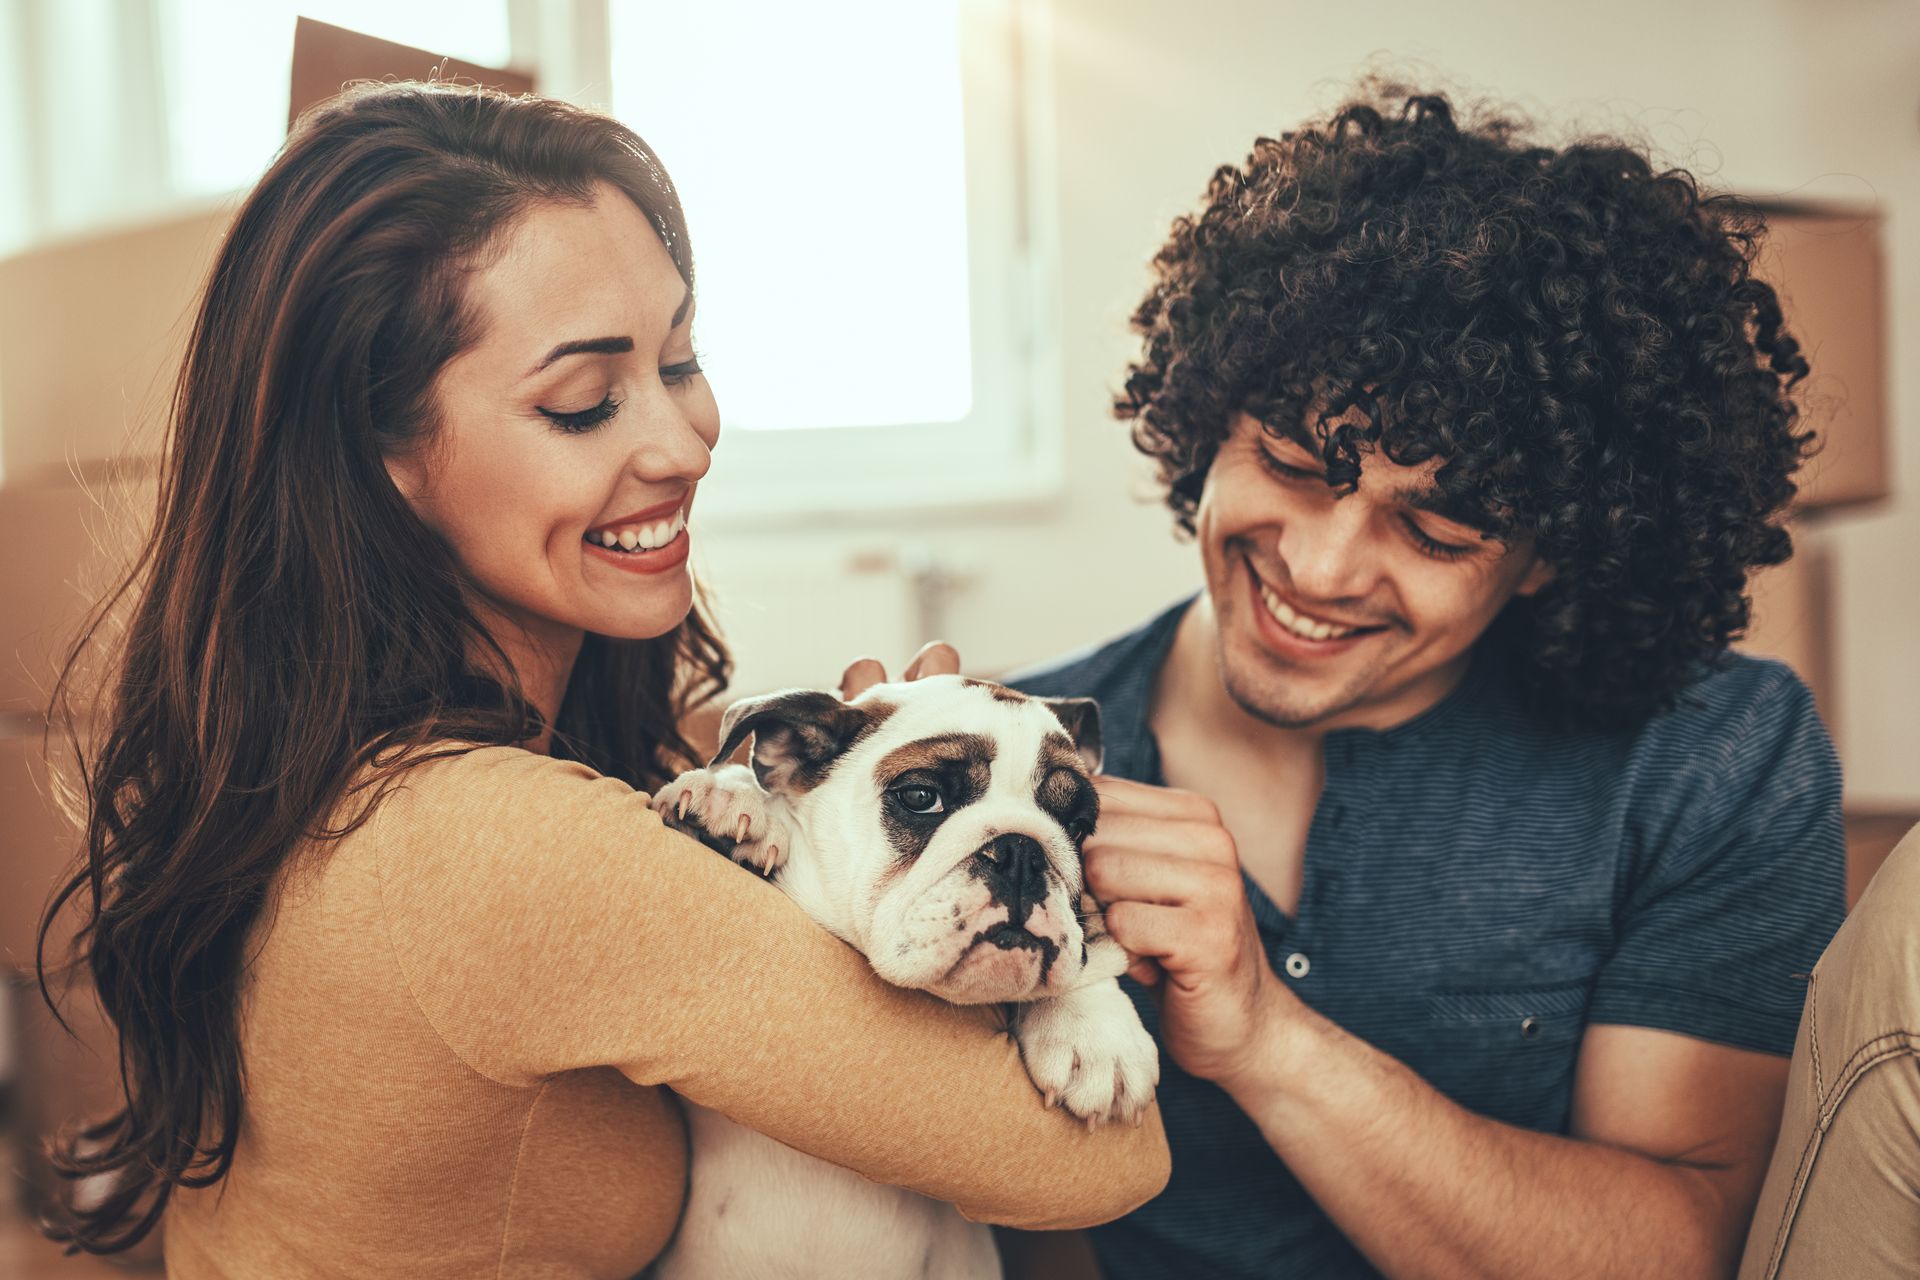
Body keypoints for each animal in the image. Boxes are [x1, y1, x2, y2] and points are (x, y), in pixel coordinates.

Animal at [645, 671, 1152, 1280]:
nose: (1023, 851)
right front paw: (727, 798)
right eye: (920, 798)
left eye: (1078, 827)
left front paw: (1096, 1035)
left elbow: (1091, 947)